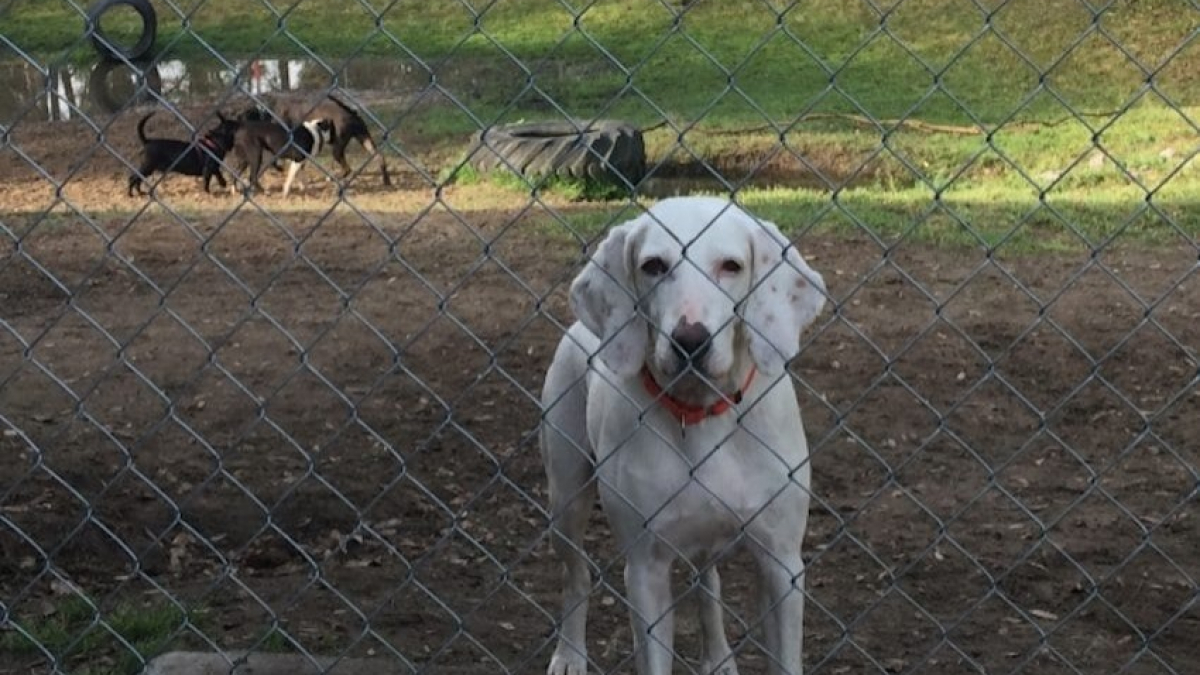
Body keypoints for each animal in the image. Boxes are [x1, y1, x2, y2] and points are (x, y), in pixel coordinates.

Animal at [256, 91, 388, 184]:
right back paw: (386, 181)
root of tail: (352, 115)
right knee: (380, 157)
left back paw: (332, 178)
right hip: (365, 139)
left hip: (337, 149)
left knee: (348, 169)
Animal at [542, 195, 825, 672]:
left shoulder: (781, 563)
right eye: (653, 265)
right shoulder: (645, 570)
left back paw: (718, 656)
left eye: (731, 265)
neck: (702, 413)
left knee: (707, 583)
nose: (690, 341)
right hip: (566, 496)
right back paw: (570, 652)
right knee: (575, 573)